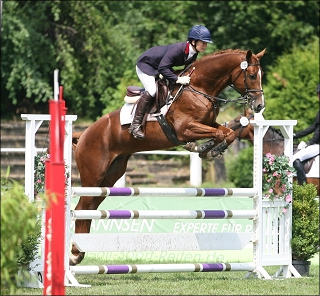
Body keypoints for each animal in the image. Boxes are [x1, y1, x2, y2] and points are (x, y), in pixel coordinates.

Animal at [70, 48, 268, 266]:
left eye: (261, 75)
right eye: (252, 75)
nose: (259, 106)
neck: (199, 88)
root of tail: (83, 134)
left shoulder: (208, 123)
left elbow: (227, 133)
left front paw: (208, 149)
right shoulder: (185, 129)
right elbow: (218, 134)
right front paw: (205, 148)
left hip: (111, 175)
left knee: (91, 206)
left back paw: (81, 250)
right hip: (94, 175)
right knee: (82, 206)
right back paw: (74, 253)